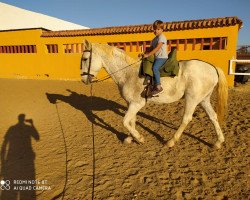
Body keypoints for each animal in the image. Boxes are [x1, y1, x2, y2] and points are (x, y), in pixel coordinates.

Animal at [81, 39, 228, 148]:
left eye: (85, 59)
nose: (83, 79)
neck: (128, 73)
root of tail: (212, 67)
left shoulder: (136, 104)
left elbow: (125, 121)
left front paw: (139, 138)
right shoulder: (131, 104)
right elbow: (131, 121)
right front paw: (131, 138)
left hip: (192, 99)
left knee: (186, 119)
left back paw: (171, 141)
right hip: (204, 99)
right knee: (213, 117)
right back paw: (218, 142)